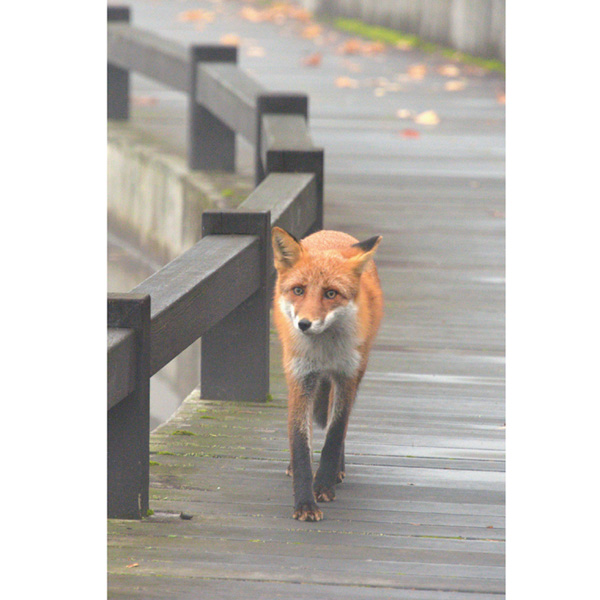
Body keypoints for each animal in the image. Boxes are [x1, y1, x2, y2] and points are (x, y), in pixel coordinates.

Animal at [271, 226, 383, 521]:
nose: (304, 324)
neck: (324, 353)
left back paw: (337, 471)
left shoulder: (346, 376)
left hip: (356, 372)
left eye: (331, 293)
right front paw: (305, 502)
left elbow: (335, 432)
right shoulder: (301, 378)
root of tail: (330, 232)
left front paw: (323, 484)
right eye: (298, 290)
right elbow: (300, 441)